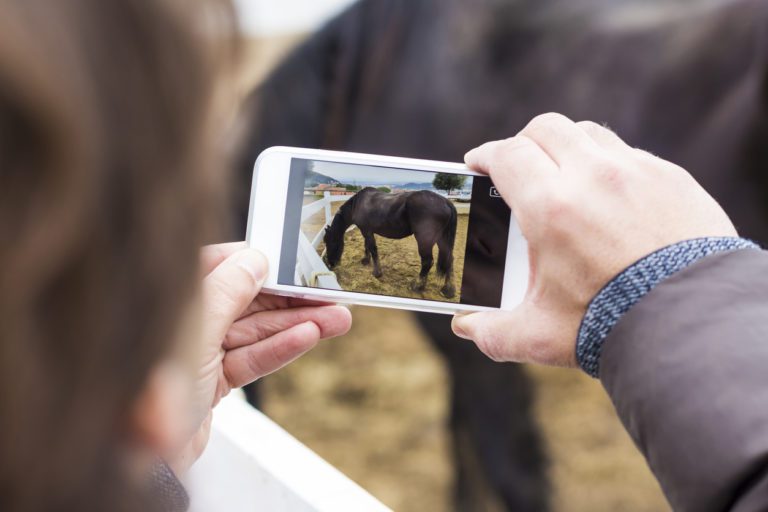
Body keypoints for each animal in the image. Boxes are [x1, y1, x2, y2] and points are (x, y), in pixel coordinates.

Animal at [323, 187, 458, 298]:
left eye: (330, 242)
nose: (330, 264)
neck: (357, 204)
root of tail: (446, 202)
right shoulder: (366, 231)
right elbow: (367, 246)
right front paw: (366, 260)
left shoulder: (367, 230)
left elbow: (372, 248)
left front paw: (377, 273)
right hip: (442, 240)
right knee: (449, 259)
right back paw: (448, 290)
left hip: (424, 241)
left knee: (427, 262)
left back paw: (417, 286)